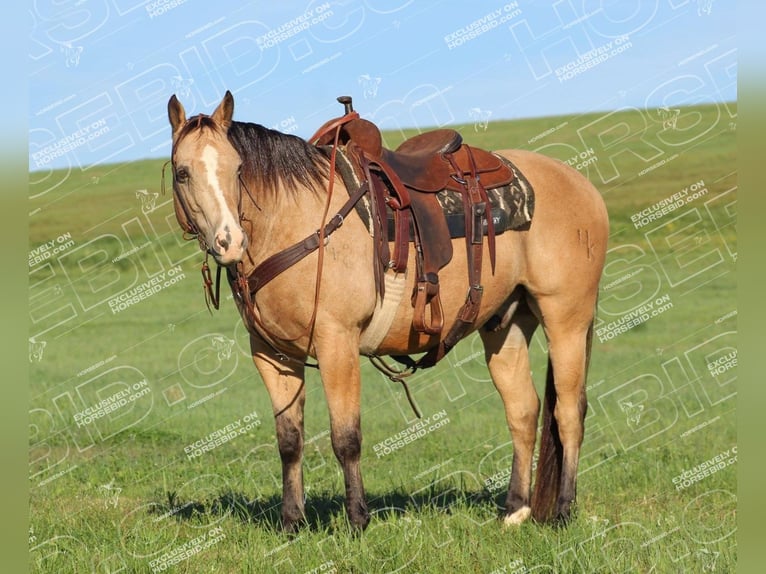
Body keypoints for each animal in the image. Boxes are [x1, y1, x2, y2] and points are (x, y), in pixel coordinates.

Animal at [165, 91, 608, 536]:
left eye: (238, 169)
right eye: (183, 173)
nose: (230, 241)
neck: (295, 221)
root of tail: (583, 185)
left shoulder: (337, 342)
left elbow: (346, 437)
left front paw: (357, 520)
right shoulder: (273, 355)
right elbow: (289, 440)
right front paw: (291, 522)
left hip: (566, 321)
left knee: (568, 412)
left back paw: (563, 510)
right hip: (506, 325)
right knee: (523, 410)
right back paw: (515, 510)